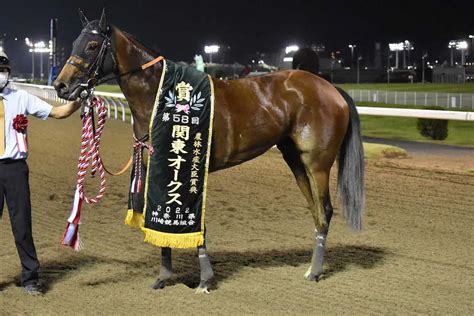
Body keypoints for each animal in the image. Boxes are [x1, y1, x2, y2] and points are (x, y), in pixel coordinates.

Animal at [53, 9, 364, 292]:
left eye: (92, 45)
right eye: (75, 43)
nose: (61, 85)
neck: (161, 94)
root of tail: (331, 89)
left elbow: (196, 225)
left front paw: (205, 280)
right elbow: (163, 218)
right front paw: (163, 277)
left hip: (317, 163)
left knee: (325, 210)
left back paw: (315, 271)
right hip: (295, 159)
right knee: (315, 210)